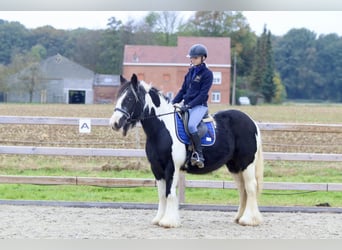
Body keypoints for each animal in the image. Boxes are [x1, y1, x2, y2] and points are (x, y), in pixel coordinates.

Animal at [109, 73, 264, 228]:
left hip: (246, 163)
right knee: (242, 189)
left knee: (250, 187)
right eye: (118, 96)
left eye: (129, 98)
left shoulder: (171, 167)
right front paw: (159, 219)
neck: (162, 129)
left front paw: (168, 221)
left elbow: (169, 193)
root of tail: (251, 122)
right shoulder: (156, 168)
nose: (114, 123)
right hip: (235, 166)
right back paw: (239, 217)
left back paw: (249, 220)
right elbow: (161, 194)